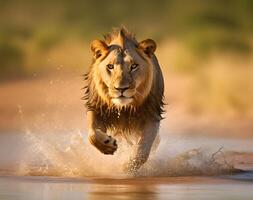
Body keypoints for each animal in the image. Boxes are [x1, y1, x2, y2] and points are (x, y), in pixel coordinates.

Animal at [84, 27, 165, 173]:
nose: (121, 88)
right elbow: (92, 134)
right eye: (110, 66)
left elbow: (142, 150)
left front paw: (126, 167)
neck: (124, 108)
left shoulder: (152, 115)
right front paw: (107, 145)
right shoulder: (96, 108)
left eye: (134, 66)